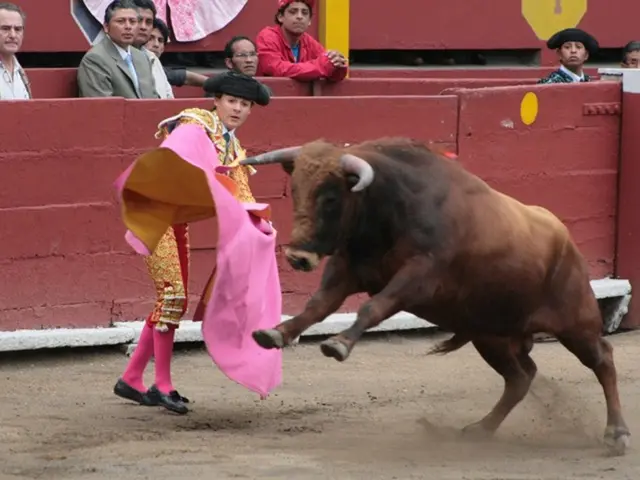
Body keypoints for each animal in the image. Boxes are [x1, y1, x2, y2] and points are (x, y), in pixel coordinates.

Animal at [240, 137, 630, 456]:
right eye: (295, 190)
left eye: (332, 197)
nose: (297, 257)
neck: (388, 208)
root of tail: (566, 239)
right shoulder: (347, 269)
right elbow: (316, 306)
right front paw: (275, 333)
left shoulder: (419, 277)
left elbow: (373, 307)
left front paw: (338, 344)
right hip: (491, 335)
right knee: (521, 377)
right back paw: (480, 429)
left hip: (576, 324)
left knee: (603, 359)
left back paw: (617, 434)